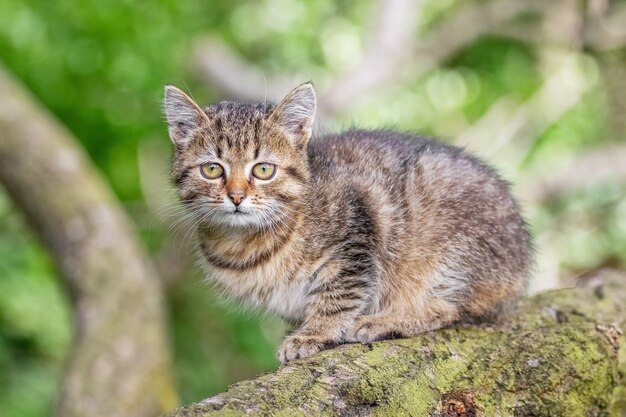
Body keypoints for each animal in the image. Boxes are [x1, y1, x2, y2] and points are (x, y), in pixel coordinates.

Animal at [162, 81, 532, 360]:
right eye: (212, 169)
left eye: (263, 169)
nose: (236, 196)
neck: (245, 243)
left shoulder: (356, 236)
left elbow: (337, 295)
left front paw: (313, 333)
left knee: (448, 309)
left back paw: (384, 321)